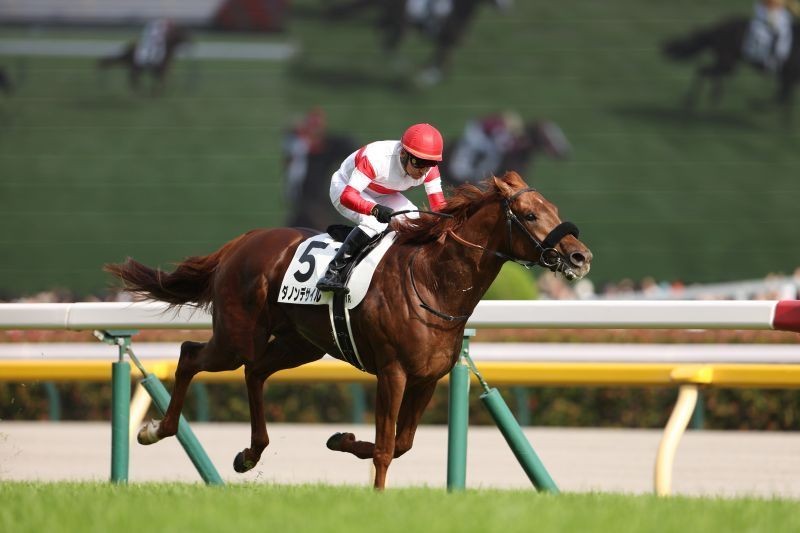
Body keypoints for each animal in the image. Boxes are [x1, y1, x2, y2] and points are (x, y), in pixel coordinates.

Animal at [104, 171, 592, 489]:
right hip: (237, 336)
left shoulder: (427, 379)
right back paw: (156, 430)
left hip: (300, 344)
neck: (433, 281)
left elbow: (401, 444)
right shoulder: (393, 372)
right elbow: (386, 446)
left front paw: (342, 438)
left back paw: (250, 453)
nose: (580, 256)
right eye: (529, 215)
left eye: (553, 209)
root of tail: (241, 242)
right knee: (190, 354)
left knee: (255, 372)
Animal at [662, 16, 800, 116]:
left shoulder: (788, 79)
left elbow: (782, 98)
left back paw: (713, 96)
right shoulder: (788, 77)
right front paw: (755, 104)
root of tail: (717, 28)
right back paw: (693, 100)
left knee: (709, 73)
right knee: (704, 71)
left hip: (727, 63)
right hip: (727, 62)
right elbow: (781, 98)